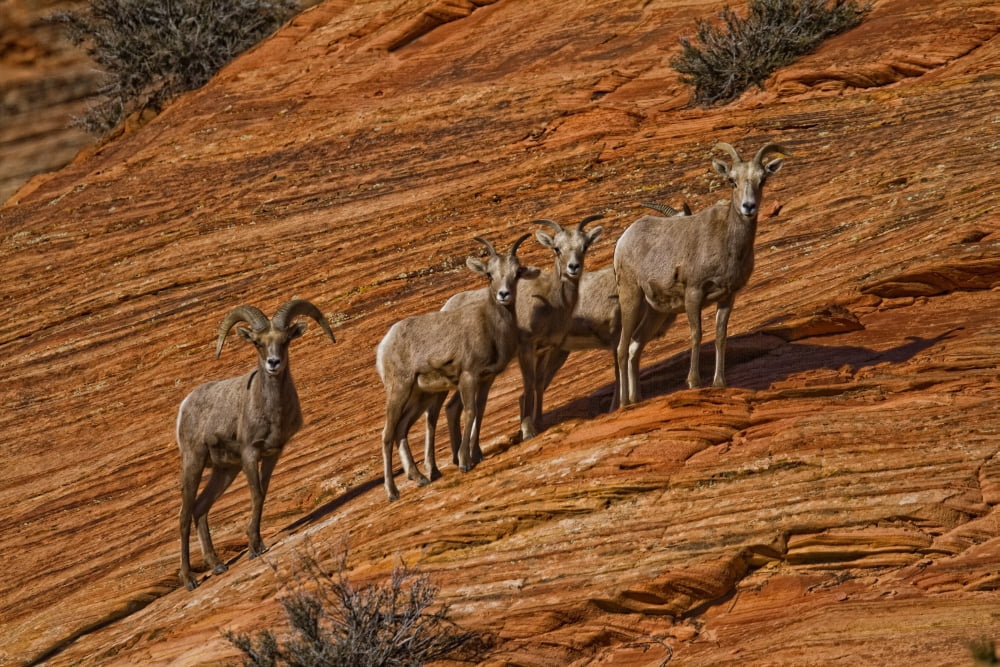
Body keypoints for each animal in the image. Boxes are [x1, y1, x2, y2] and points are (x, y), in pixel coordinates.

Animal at [176, 299, 335, 590]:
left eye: (284, 341)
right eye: (258, 343)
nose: (273, 363)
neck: (271, 411)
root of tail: (185, 406)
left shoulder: (272, 454)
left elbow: (262, 494)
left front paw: (256, 545)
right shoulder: (250, 454)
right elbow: (257, 494)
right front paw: (254, 548)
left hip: (225, 470)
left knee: (200, 509)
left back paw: (218, 565)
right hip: (194, 462)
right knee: (184, 515)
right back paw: (190, 580)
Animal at [376, 234, 539, 501]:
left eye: (516, 273)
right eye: (489, 275)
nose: (504, 295)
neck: (491, 326)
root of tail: (383, 346)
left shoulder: (486, 379)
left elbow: (480, 412)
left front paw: (477, 454)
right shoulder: (468, 376)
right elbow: (470, 412)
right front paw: (464, 462)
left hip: (420, 395)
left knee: (401, 429)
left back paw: (421, 478)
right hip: (399, 390)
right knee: (388, 434)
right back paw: (393, 492)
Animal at [442, 215, 603, 440]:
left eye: (585, 246)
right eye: (557, 248)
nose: (573, 267)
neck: (552, 303)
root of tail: (447, 307)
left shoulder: (546, 350)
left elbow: (539, 382)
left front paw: (539, 423)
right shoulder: (526, 349)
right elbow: (528, 382)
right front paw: (528, 430)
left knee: (453, 407)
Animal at [613, 142, 790, 406]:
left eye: (762, 180)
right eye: (732, 181)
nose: (749, 207)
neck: (727, 242)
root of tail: (623, 240)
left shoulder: (728, 297)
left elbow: (720, 336)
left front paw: (720, 383)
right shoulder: (694, 294)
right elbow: (697, 335)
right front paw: (694, 382)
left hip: (657, 312)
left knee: (635, 345)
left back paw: (636, 399)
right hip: (631, 298)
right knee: (622, 348)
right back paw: (624, 403)